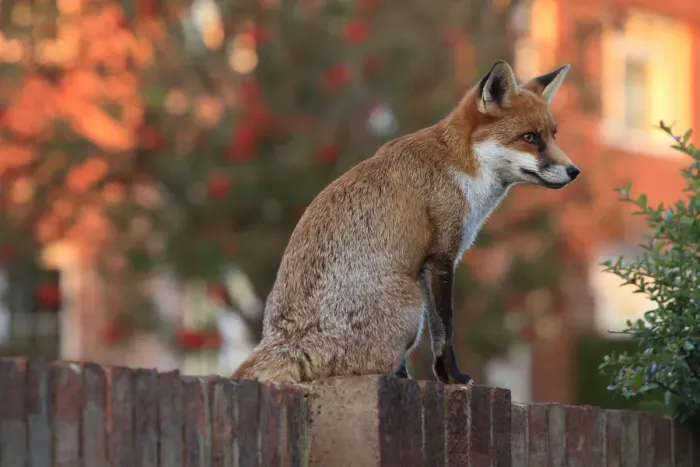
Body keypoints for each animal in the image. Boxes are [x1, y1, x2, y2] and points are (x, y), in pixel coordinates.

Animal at [233, 60, 579, 384]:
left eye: (553, 135)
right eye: (529, 138)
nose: (574, 171)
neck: (463, 167)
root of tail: (287, 339)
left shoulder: (425, 265)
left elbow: (439, 333)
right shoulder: (442, 255)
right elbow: (445, 331)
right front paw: (453, 378)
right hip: (412, 304)